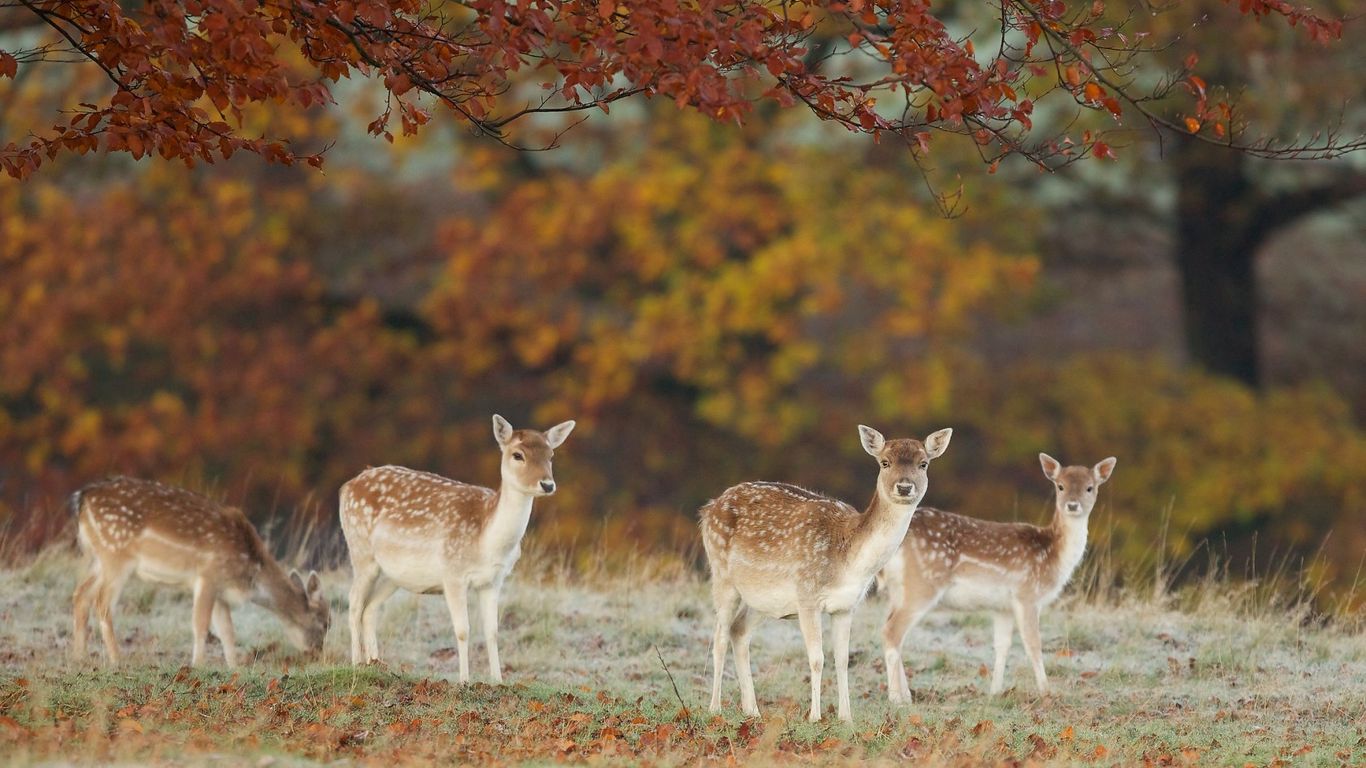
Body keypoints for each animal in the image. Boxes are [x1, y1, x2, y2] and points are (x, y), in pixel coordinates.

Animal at [71, 475, 330, 666]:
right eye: (326, 623)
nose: (317, 652)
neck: (250, 569)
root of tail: (82, 499)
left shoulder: (221, 590)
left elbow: (227, 630)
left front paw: (234, 667)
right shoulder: (208, 575)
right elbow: (201, 624)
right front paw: (198, 665)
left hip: (97, 559)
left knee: (80, 594)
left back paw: (81, 658)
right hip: (116, 555)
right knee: (102, 602)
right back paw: (117, 660)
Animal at [344, 412, 579, 675]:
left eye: (551, 455)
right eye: (518, 454)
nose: (547, 485)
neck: (487, 543)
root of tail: (347, 486)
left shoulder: (493, 580)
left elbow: (492, 632)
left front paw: (497, 679)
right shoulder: (452, 573)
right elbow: (463, 630)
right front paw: (464, 679)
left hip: (393, 575)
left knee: (370, 609)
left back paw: (374, 665)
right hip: (360, 552)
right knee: (354, 604)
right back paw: (355, 664)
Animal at [699, 420, 956, 721]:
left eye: (923, 464)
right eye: (884, 462)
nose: (904, 487)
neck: (849, 562)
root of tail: (708, 508)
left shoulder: (846, 606)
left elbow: (842, 659)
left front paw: (846, 717)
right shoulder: (807, 596)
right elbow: (817, 658)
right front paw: (815, 716)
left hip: (762, 599)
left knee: (739, 631)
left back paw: (752, 710)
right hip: (721, 574)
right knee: (719, 637)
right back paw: (715, 707)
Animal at [879, 453, 1114, 699]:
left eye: (1089, 487)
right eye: (1060, 486)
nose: (1072, 505)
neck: (1052, 555)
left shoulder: (1003, 607)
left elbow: (1002, 646)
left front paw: (995, 691)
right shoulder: (1027, 594)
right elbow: (1033, 644)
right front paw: (1046, 692)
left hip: (898, 591)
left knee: (890, 630)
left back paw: (906, 694)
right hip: (923, 584)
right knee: (891, 631)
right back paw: (897, 699)